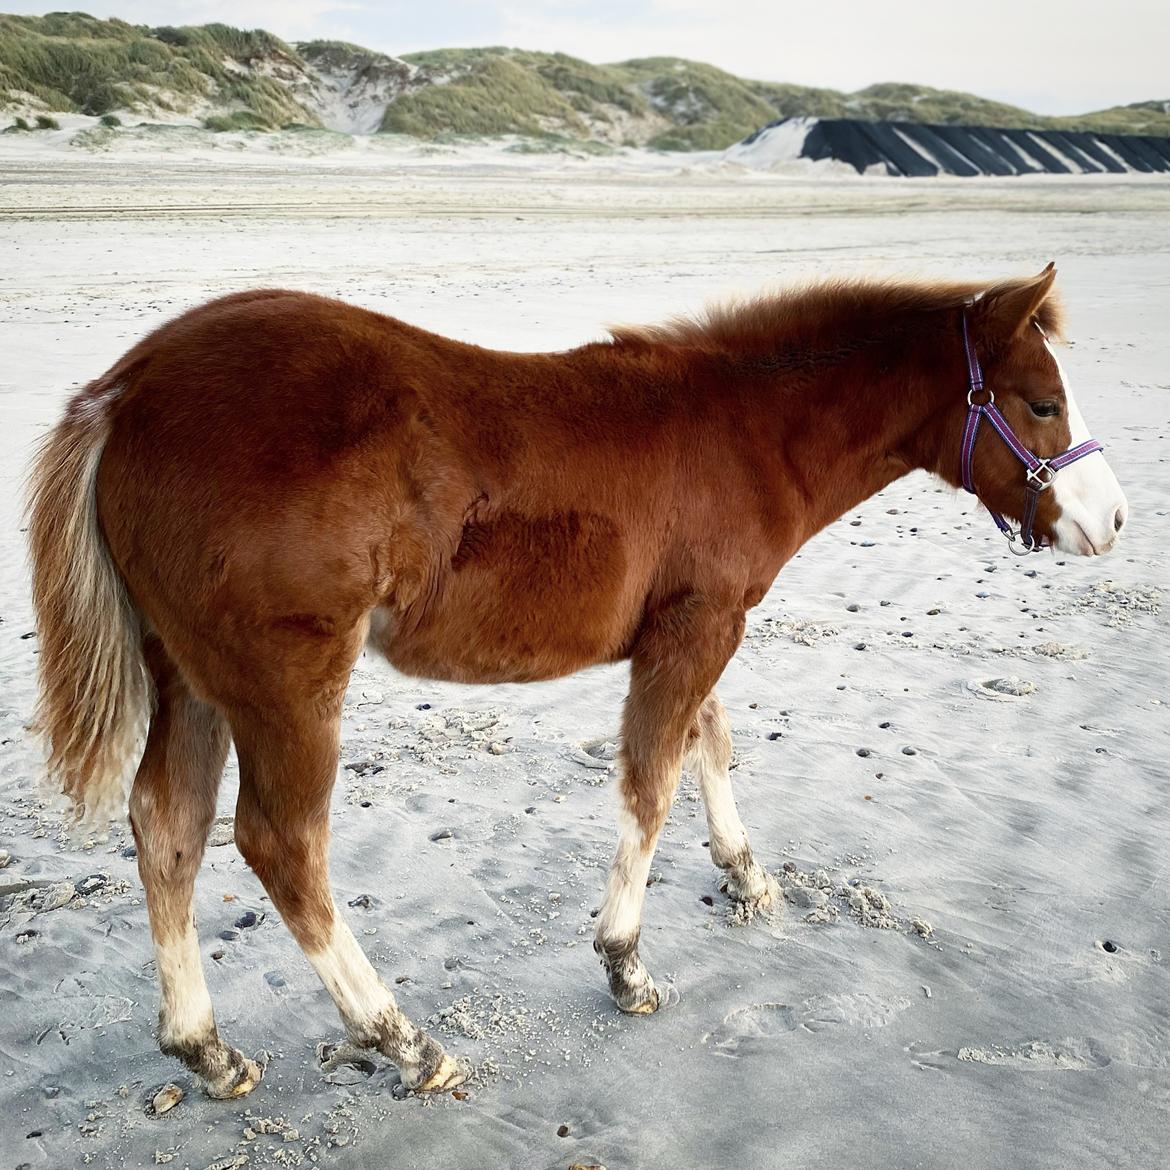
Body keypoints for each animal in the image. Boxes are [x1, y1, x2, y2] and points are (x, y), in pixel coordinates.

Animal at [25, 263, 1123, 1095]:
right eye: (1040, 400)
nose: (1112, 522)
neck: (745, 430)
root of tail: (124, 393)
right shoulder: (698, 628)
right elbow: (653, 784)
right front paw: (625, 961)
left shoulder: (692, 623)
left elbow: (709, 741)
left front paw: (747, 873)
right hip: (285, 682)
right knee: (280, 844)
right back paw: (402, 1040)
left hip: (192, 676)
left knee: (168, 827)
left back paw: (204, 1049)